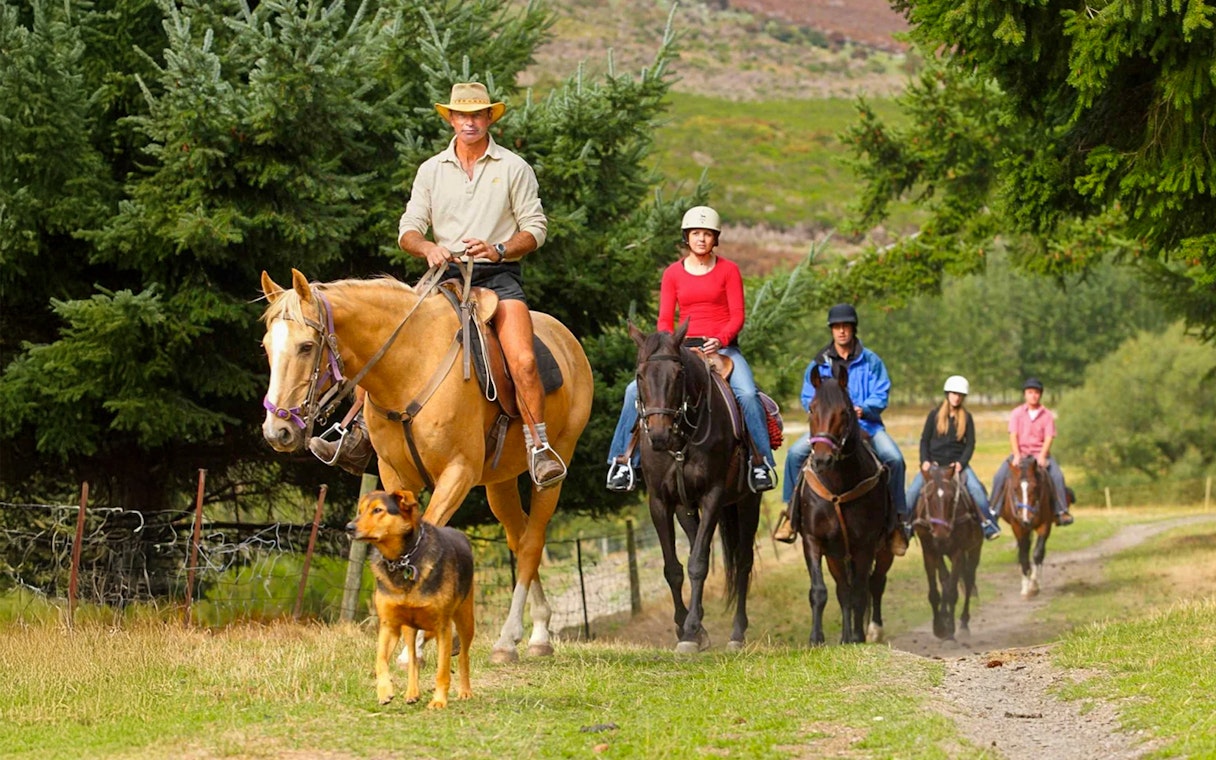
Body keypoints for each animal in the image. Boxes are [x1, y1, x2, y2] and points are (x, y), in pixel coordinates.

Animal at [260, 269, 593, 662]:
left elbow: (423, 546)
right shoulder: (395, 476)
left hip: (554, 467)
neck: (407, 369)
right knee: (521, 536)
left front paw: (415, 645)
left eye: (306, 347)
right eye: (266, 347)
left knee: (531, 542)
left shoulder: (457, 474)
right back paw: (536, 627)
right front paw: (416, 642)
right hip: (499, 483)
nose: (277, 431)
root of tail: (567, 340)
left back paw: (515, 639)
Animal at [630, 322, 761, 654]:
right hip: (686, 508)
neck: (680, 440)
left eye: (678, 374)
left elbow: (699, 564)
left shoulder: (712, 496)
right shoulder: (661, 502)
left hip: (747, 503)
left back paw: (737, 633)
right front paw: (686, 627)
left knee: (743, 563)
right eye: (640, 375)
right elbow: (673, 568)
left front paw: (690, 631)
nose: (659, 435)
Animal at [794, 364, 895, 645]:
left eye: (844, 411)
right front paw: (816, 639)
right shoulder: (813, 540)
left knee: (875, 584)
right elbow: (820, 591)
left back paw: (871, 630)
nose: (822, 460)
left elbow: (861, 591)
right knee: (843, 590)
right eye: (811, 409)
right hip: (836, 556)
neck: (838, 488)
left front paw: (858, 637)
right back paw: (845, 637)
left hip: (884, 550)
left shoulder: (865, 545)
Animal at [911, 464, 983, 640]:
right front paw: (939, 627)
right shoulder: (930, 551)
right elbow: (936, 591)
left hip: (974, 550)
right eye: (928, 497)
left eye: (952, 498)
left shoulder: (957, 552)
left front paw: (950, 630)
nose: (941, 534)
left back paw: (963, 624)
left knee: (968, 580)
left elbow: (952, 592)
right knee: (946, 578)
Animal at [994, 456, 1054, 597]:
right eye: (1015, 489)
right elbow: (1023, 555)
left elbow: (1038, 553)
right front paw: (1026, 588)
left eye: (1035, 487)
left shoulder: (1045, 525)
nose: (1026, 518)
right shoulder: (1018, 527)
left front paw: (1034, 585)